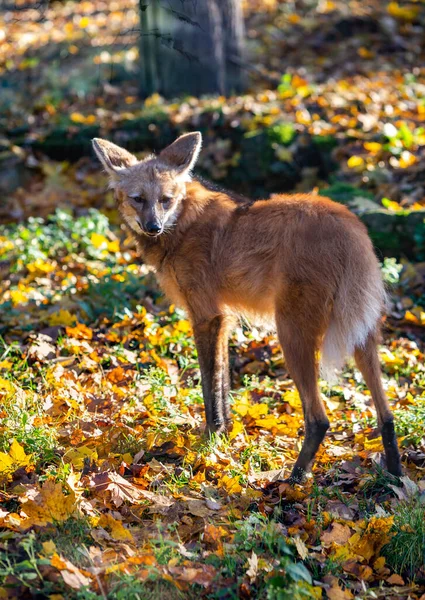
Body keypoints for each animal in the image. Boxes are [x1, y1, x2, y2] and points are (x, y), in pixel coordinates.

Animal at [92, 131, 400, 482]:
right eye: (138, 199)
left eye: (165, 200)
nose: (153, 226)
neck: (181, 225)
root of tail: (351, 226)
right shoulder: (223, 318)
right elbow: (223, 383)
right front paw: (224, 437)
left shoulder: (205, 316)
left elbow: (209, 386)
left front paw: (209, 443)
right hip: (362, 333)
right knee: (387, 415)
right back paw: (394, 475)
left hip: (291, 334)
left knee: (319, 418)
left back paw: (293, 481)